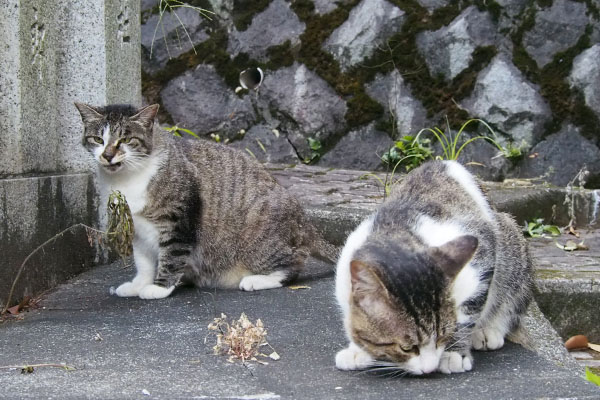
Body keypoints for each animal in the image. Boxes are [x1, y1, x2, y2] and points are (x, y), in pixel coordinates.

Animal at [75, 103, 336, 300]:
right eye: (98, 139)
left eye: (126, 139)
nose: (107, 155)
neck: (128, 178)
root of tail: (304, 221)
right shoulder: (138, 227)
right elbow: (144, 262)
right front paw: (138, 284)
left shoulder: (178, 219)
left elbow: (171, 255)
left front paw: (158, 288)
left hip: (261, 238)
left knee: (293, 264)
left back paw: (256, 280)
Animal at [336, 159, 532, 376]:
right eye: (407, 348)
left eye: (441, 337)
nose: (429, 368)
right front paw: (358, 350)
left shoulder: (481, 253)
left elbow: (467, 311)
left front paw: (454, 352)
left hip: (511, 244)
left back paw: (488, 330)